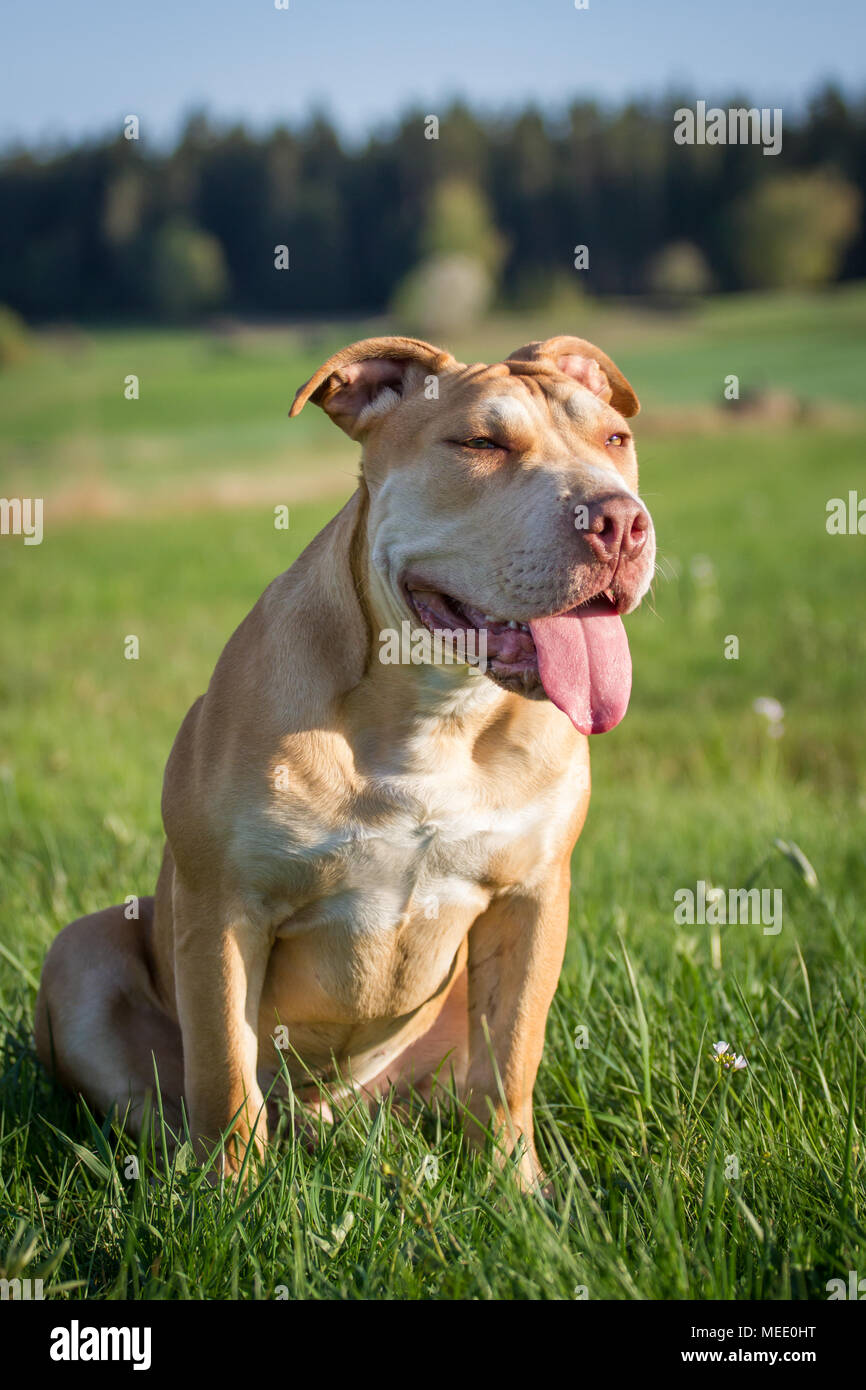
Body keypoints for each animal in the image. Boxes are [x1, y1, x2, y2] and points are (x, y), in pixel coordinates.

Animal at [35, 333, 656, 1184]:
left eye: (616, 439)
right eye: (481, 444)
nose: (619, 519)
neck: (435, 710)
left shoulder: (532, 898)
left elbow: (509, 1064)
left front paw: (514, 1189)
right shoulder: (222, 907)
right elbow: (223, 1069)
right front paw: (231, 1198)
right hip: (82, 950)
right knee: (167, 1098)